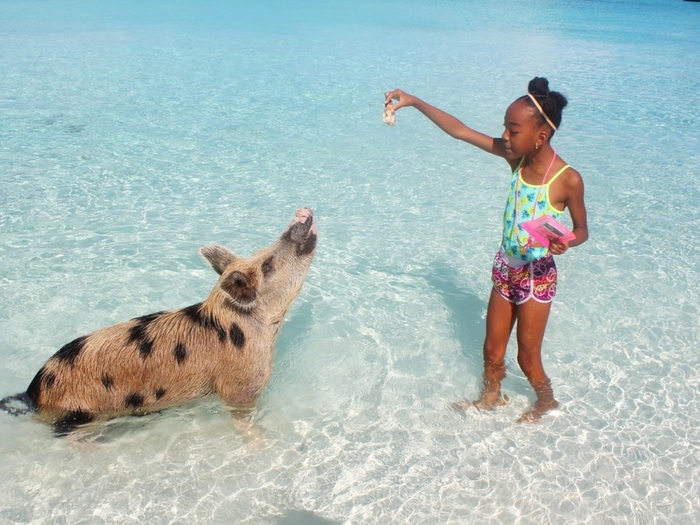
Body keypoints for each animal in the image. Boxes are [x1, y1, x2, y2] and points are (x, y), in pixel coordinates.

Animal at [0, 207, 318, 432]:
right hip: (79, 418)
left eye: (262, 255)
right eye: (268, 263)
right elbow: (244, 418)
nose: (302, 214)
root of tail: (32, 394)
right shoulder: (241, 386)